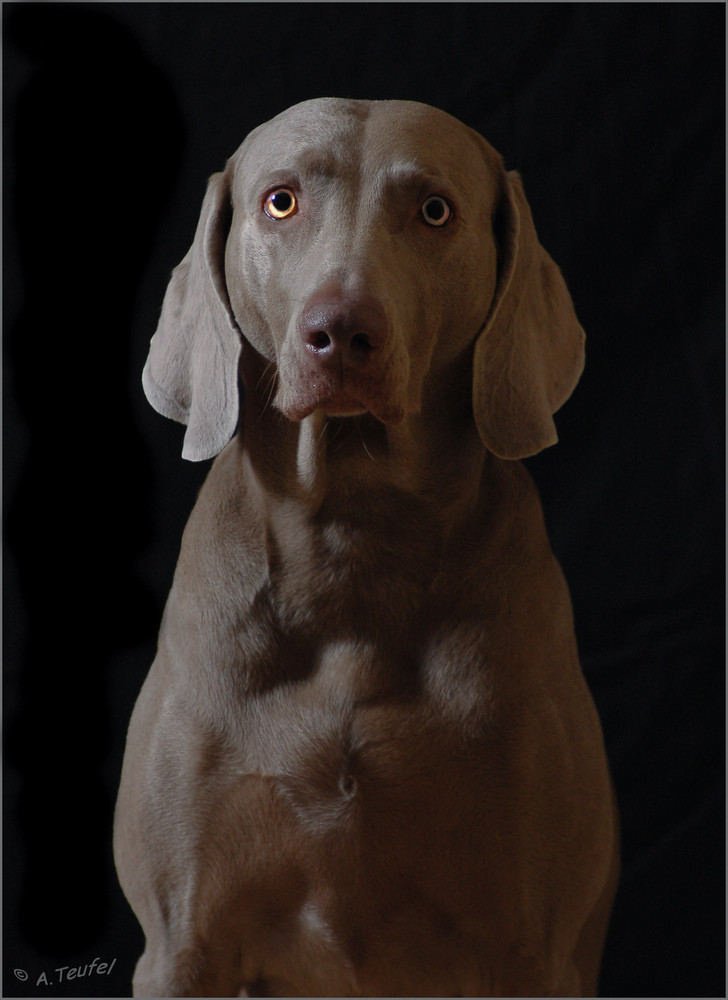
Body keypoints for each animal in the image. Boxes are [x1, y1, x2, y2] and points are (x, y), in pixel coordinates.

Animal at [115, 95, 620, 1000]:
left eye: (434, 211)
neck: (351, 548)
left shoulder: (533, 948)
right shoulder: (181, 945)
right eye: (280, 202)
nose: (341, 330)